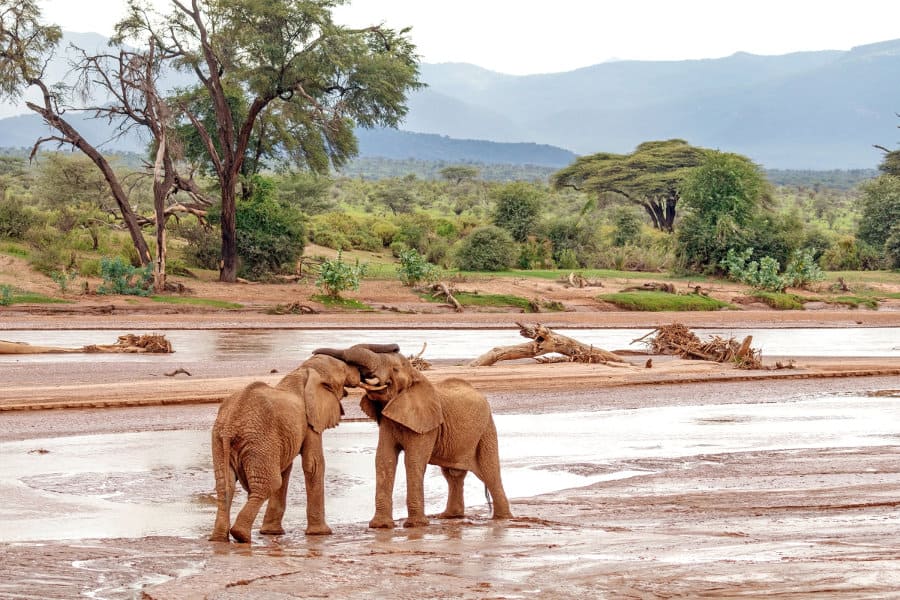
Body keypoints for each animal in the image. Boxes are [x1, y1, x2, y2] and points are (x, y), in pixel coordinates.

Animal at [208, 346, 397, 543]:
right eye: (343, 371)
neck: (303, 370)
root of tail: (230, 426)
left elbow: (287, 468)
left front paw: (272, 533)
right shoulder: (309, 420)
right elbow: (313, 464)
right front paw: (321, 534)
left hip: (224, 441)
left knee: (225, 485)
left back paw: (219, 539)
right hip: (257, 440)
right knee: (268, 484)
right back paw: (241, 535)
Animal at [313, 344, 512, 528]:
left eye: (395, 369)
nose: (314, 354)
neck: (415, 375)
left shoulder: (426, 424)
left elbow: (413, 460)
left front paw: (415, 525)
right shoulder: (388, 421)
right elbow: (384, 459)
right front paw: (380, 526)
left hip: (486, 429)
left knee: (489, 471)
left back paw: (503, 518)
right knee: (453, 475)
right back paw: (449, 516)